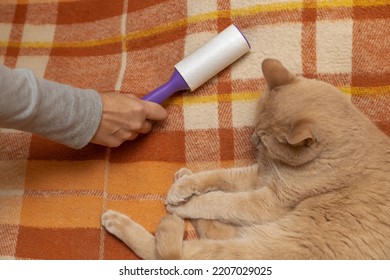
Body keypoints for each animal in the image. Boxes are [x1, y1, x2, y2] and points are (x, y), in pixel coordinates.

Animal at [101, 59, 390, 260]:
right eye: (256, 129)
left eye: (265, 138)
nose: (253, 141)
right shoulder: (259, 174)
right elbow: (216, 178)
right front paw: (184, 189)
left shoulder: (269, 200)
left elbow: (219, 201)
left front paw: (186, 203)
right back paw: (181, 181)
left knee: (170, 255)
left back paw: (126, 220)